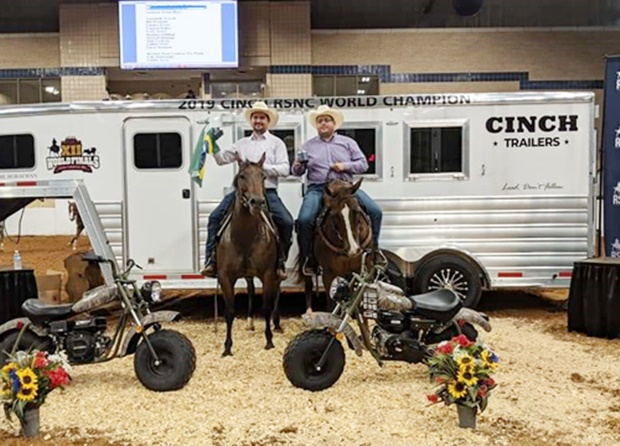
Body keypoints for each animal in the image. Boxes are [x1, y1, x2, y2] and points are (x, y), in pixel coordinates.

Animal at [214, 152, 280, 356]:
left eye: (263, 176)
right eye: (242, 176)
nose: (257, 202)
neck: (244, 236)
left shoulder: (267, 274)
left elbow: (266, 307)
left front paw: (269, 341)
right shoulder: (226, 277)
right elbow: (229, 312)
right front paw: (227, 347)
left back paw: (277, 324)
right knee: (250, 289)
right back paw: (250, 322)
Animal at [300, 179, 372, 314]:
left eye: (356, 211)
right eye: (335, 215)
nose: (353, 249)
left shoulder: (359, 270)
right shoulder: (329, 274)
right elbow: (331, 305)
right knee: (308, 284)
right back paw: (309, 312)